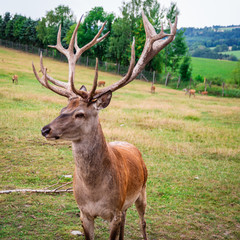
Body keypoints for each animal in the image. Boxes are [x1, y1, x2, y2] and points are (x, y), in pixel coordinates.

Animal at [32, 13, 176, 240]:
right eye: (63, 107)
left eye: (80, 113)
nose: (45, 129)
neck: (95, 194)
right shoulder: (84, 213)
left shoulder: (114, 211)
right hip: (126, 205)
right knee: (126, 221)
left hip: (143, 189)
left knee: (143, 222)